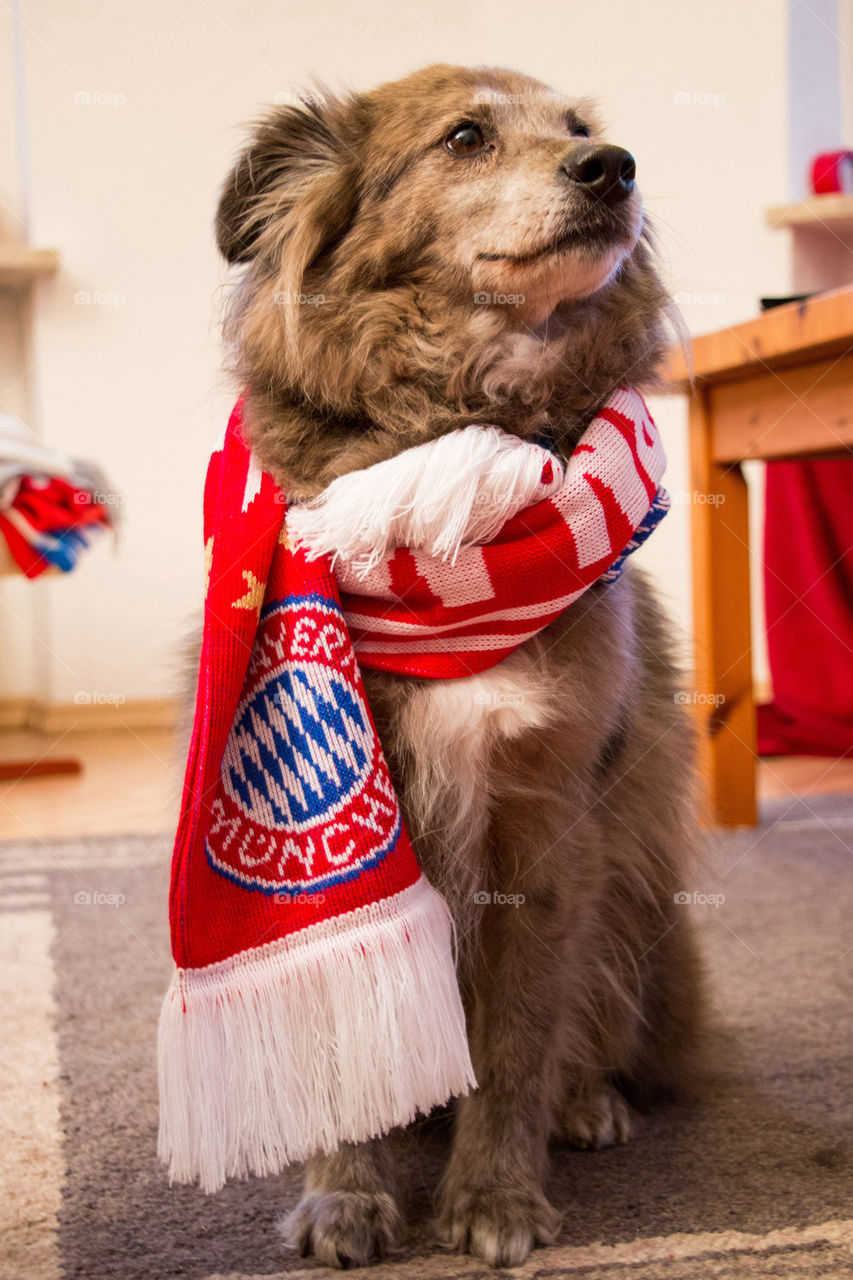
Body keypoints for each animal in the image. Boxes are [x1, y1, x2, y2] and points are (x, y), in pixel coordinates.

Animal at [213, 64, 701, 1274]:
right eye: (465, 137)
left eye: (578, 128)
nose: (612, 168)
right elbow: (344, 1045)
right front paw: (345, 1196)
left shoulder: (543, 824)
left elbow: (518, 1039)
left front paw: (494, 1195)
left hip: (641, 902)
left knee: (590, 1029)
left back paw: (586, 1101)